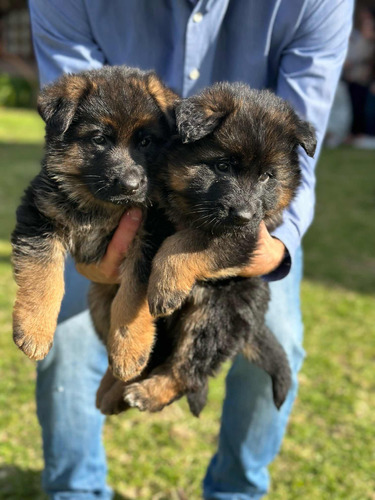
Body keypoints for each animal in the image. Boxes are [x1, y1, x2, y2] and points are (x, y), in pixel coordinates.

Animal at [10, 65, 178, 376]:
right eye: (99, 139)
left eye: (145, 141)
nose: (130, 186)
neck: (100, 206)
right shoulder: (40, 216)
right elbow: (43, 275)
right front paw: (34, 329)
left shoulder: (150, 235)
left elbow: (132, 296)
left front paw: (129, 349)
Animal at [97, 83, 318, 418]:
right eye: (222, 166)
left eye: (267, 176)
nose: (243, 215)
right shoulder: (152, 216)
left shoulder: (247, 237)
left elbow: (185, 242)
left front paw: (166, 287)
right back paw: (114, 390)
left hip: (216, 315)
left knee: (188, 372)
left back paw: (146, 394)